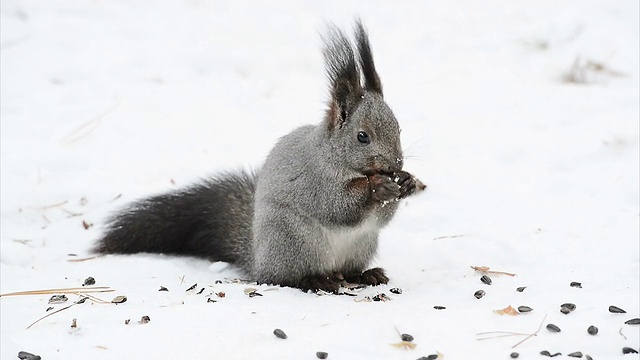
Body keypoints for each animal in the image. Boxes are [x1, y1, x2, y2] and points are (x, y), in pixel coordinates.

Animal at [94, 21, 424, 292]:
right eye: (362, 136)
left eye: (398, 128)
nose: (396, 164)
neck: (337, 158)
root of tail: (258, 259)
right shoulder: (314, 180)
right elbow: (337, 206)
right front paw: (377, 187)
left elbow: (380, 217)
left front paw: (407, 183)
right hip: (292, 241)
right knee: (285, 278)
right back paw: (316, 279)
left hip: (362, 244)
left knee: (349, 269)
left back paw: (365, 274)